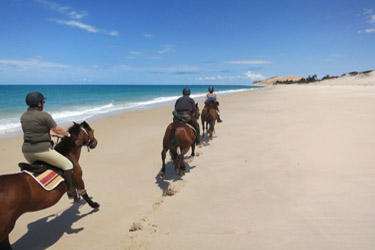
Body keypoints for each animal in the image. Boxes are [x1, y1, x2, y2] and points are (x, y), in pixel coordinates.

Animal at [0, 121, 99, 250]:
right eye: (91, 130)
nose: (95, 142)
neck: (68, 154)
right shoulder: (78, 178)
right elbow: (84, 193)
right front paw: (94, 205)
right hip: (5, 226)